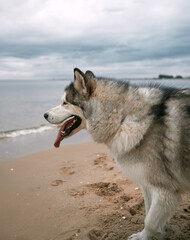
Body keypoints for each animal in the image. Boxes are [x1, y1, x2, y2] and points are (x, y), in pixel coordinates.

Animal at [43, 68, 190, 240]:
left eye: (65, 102)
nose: (44, 115)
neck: (122, 117)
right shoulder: (147, 184)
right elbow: (149, 214)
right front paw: (159, 233)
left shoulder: (165, 190)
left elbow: (151, 221)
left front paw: (142, 236)